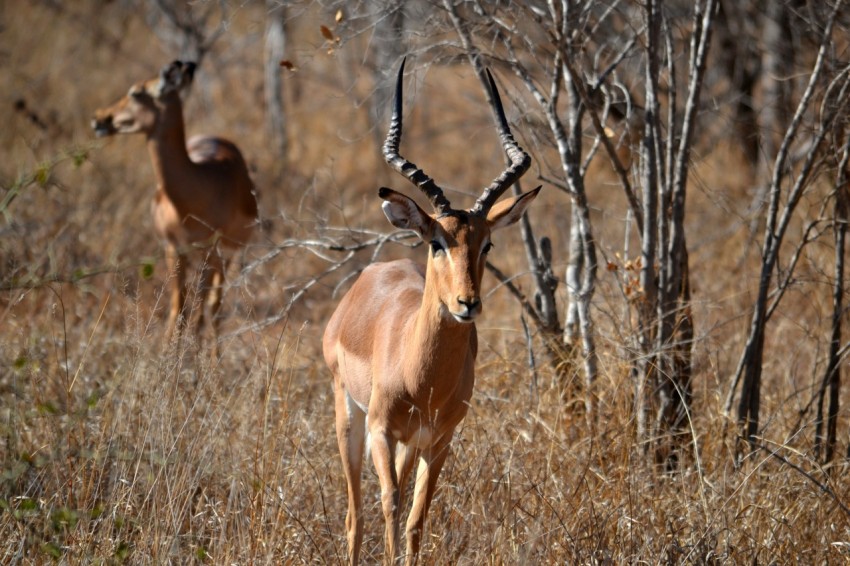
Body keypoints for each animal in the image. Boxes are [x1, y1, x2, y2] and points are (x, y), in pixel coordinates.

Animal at [91, 60, 258, 355]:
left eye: (136, 92)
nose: (100, 118)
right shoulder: (173, 249)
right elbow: (177, 310)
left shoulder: (210, 252)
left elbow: (201, 310)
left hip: (223, 257)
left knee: (213, 307)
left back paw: (212, 358)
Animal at [323, 60, 539, 566]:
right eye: (437, 242)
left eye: (487, 243)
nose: (467, 303)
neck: (422, 376)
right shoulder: (382, 430)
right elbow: (388, 506)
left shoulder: (440, 441)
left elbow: (416, 517)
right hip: (349, 418)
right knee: (355, 514)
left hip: (410, 443)